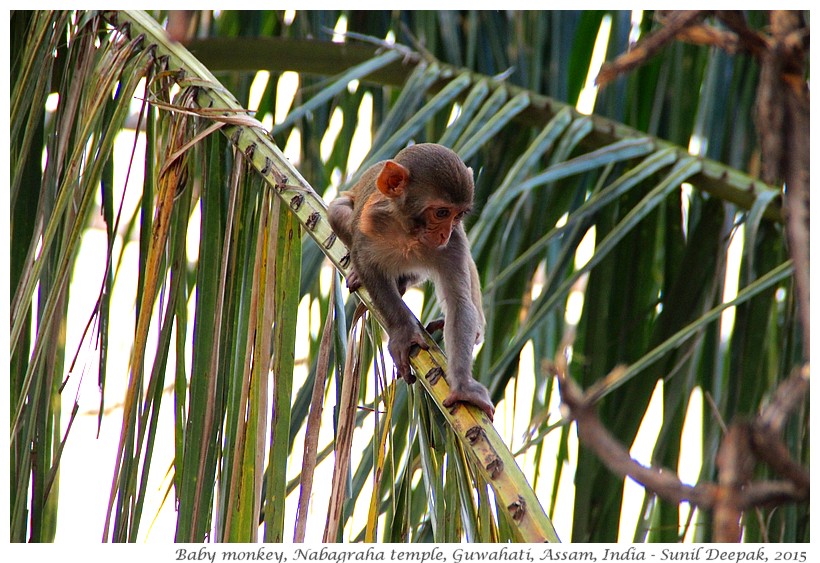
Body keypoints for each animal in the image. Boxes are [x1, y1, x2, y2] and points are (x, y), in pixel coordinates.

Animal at [326, 143, 494, 420]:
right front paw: (404, 333)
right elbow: (367, 265)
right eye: (441, 212)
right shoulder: (370, 221)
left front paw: (463, 387)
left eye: (458, 215)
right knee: (336, 210)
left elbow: (459, 303)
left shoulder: (454, 244)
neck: (409, 231)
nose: (444, 233)